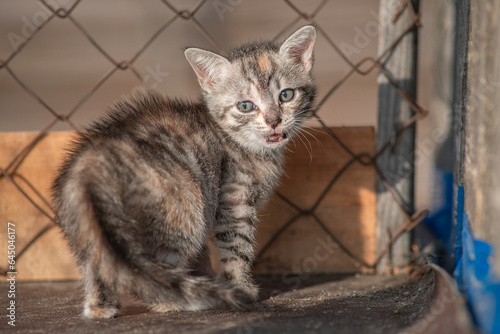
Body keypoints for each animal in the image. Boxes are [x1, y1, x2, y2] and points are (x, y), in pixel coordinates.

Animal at [50, 24, 316, 318]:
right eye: (245, 106)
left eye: (286, 95)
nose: (273, 121)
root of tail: (93, 160)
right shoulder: (232, 202)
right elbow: (237, 247)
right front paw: (241, 288)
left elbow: (203, 255)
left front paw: (207, 278)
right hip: (185, 206)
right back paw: (181, 301)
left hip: (85, 224)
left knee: (100, 263)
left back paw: (101, 306)